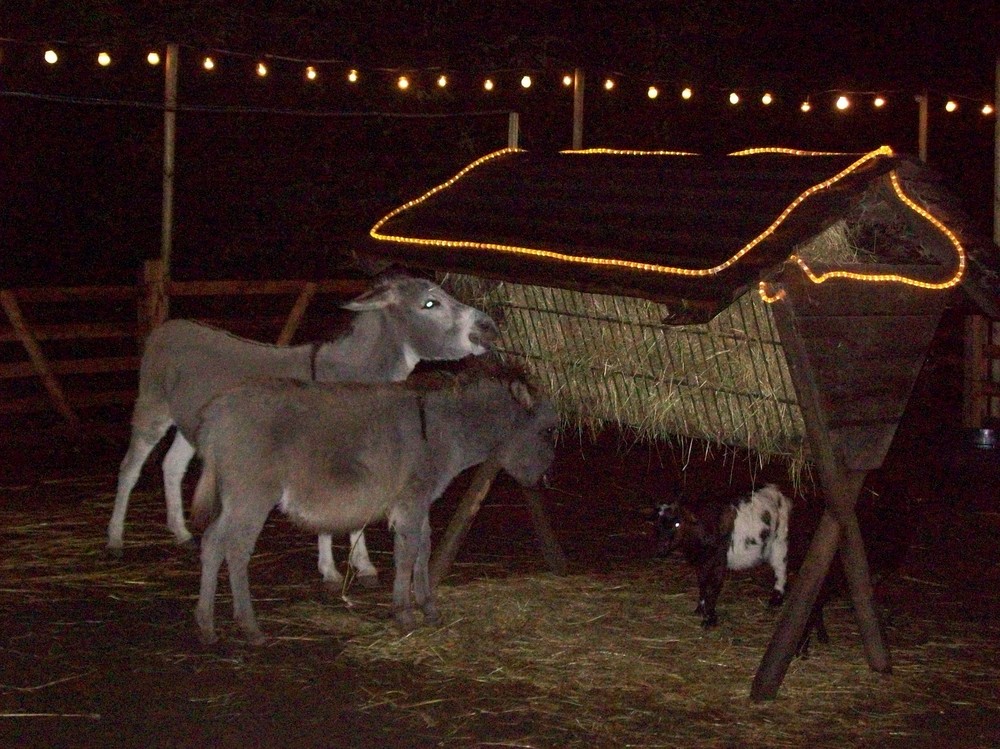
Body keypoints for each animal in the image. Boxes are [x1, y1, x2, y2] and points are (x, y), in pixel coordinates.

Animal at [652, 486, 792, 624]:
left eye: (677, 524)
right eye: (658, 524)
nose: (661, 549)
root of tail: (774, 490)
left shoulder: (720, 560)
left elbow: (715, 585)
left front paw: (710, 618)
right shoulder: (703, 560)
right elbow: (703, 582)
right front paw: (700, 609)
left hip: (779, 540)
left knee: (780, 567)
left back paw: (776, 599)